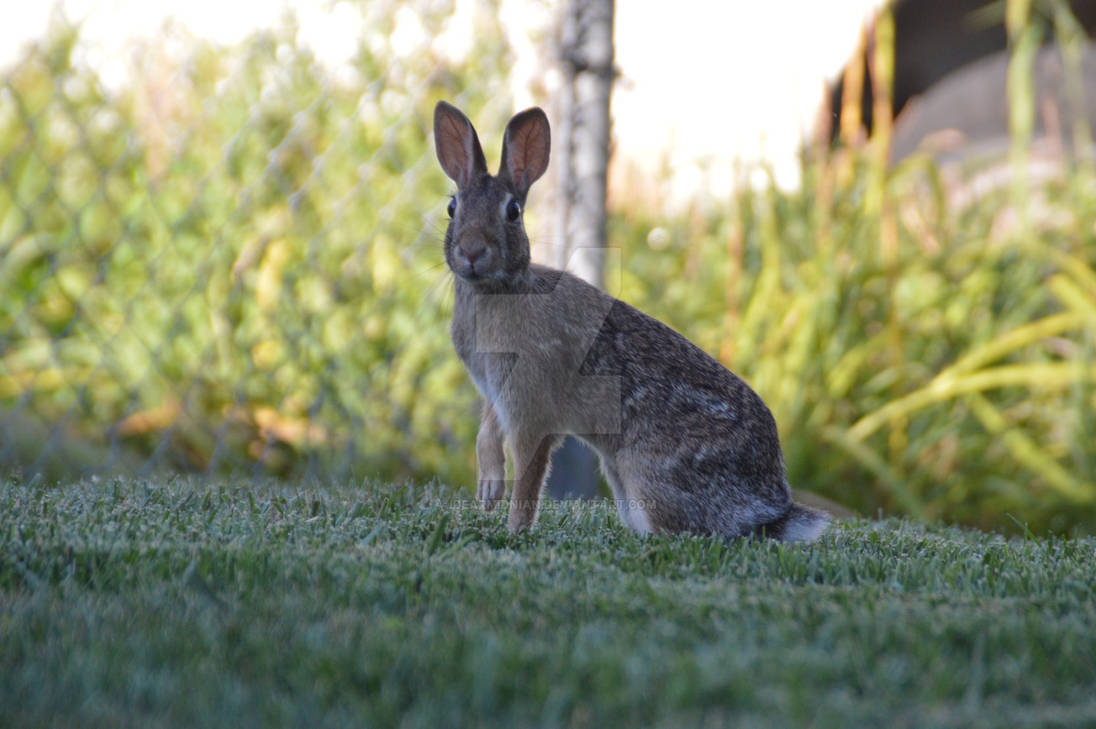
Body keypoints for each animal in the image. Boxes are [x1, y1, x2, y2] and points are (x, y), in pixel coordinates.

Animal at [433, 100, 830, 541]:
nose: (471, 250)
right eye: (452, 207)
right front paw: (488, 493)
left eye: (513, 212)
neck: (497, 289)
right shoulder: (494, 393)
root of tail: (769, 509)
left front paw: (515, 531)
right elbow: (488, 433)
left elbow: (529, 477)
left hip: (647, 477)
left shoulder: (529, 408)